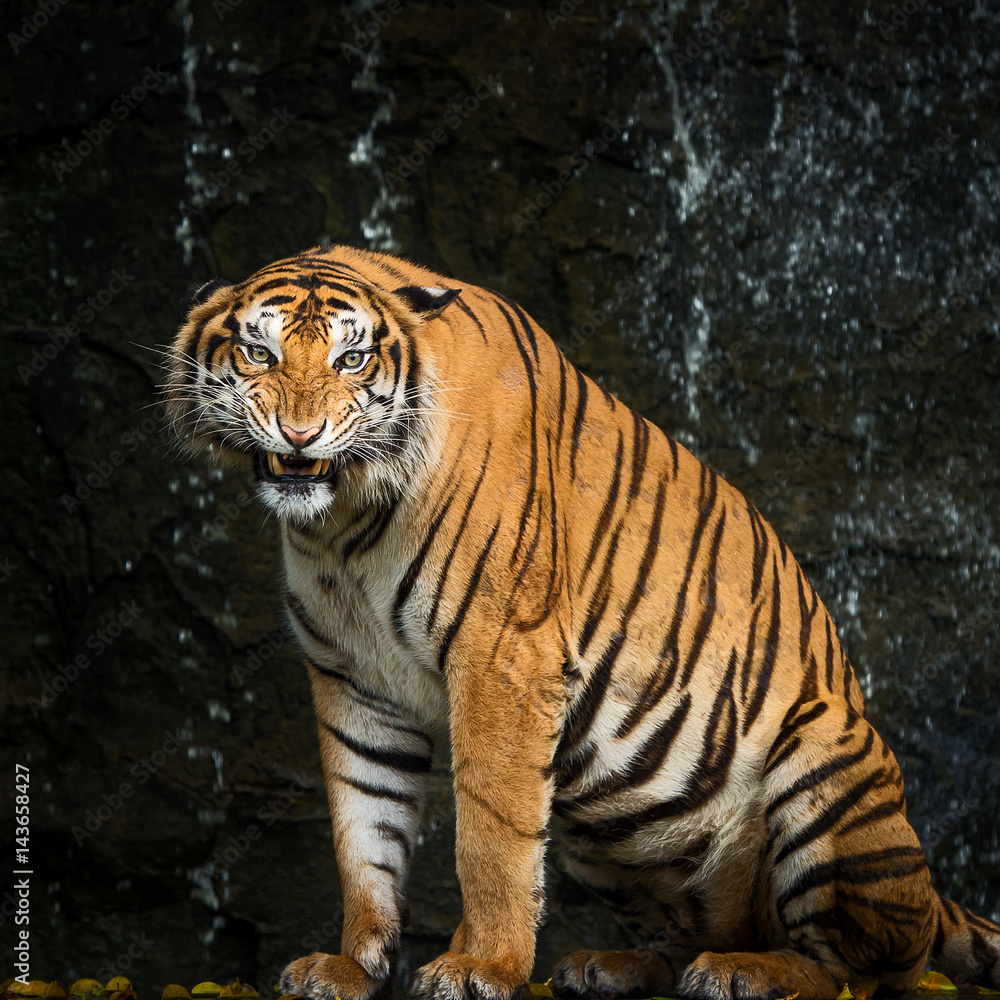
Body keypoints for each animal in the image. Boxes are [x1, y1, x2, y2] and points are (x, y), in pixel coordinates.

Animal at [165, 244, 1000, 1000]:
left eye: (353, 360)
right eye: (259, 351)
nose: (299, 435)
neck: (340, 523)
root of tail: (931, 897)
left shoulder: (501, 658)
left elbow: (491, 838)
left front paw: (480, 966)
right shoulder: (353, 679)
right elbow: (364, 833)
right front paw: (352, 969)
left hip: (821, 752)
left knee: (861, 973)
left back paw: (748, 973)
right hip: (607, 829)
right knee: (692, 936)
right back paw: (615, 966)